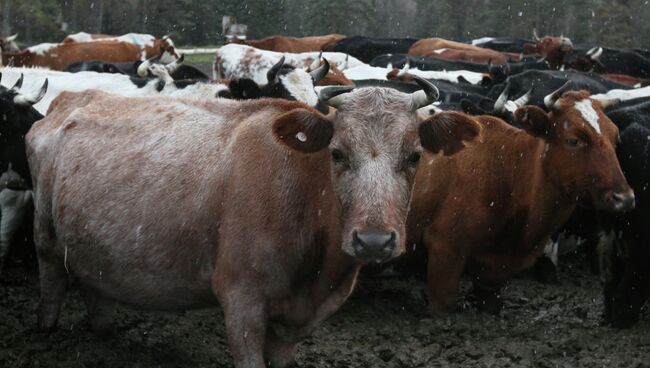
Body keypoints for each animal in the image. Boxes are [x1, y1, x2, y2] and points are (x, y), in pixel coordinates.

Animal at [25, 77, 478, 366]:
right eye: (336, 152)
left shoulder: (298, 320)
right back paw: (45, 332)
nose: (373, 241)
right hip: (44, 235)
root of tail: (70, 99)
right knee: (49, 281)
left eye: (415, 155)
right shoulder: (240, 299)